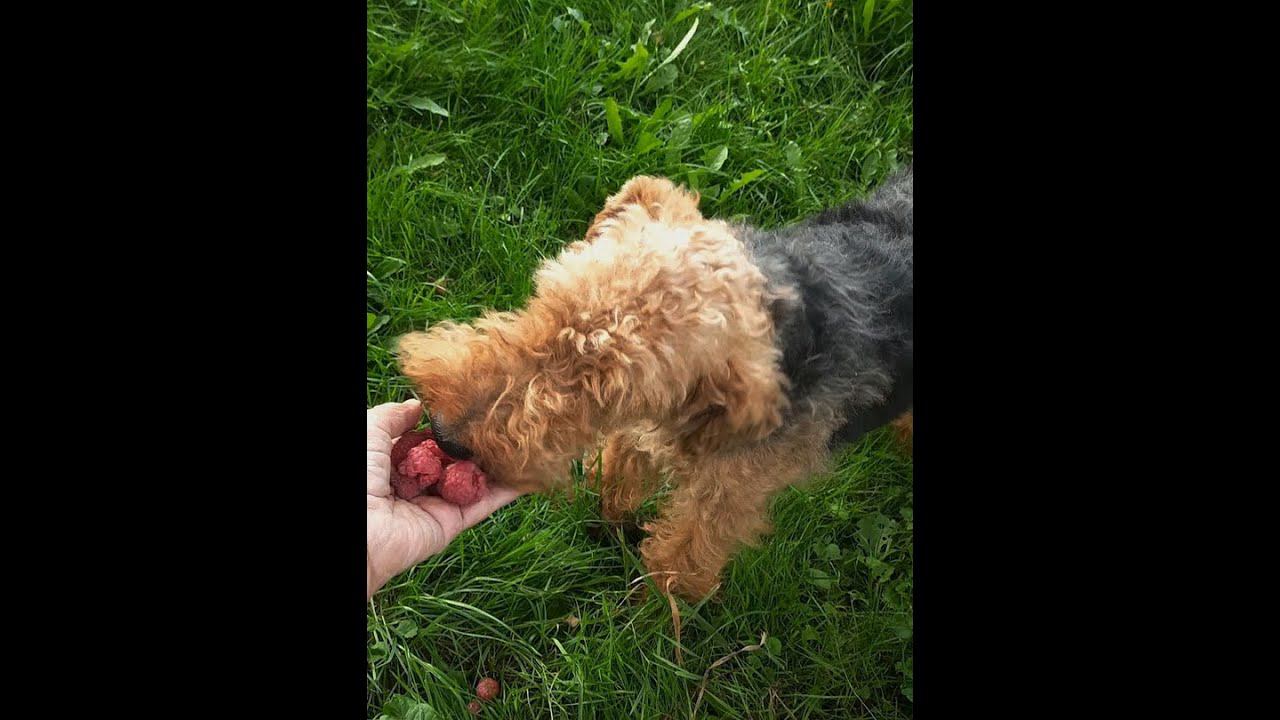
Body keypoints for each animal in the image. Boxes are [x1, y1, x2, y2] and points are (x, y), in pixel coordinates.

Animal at [398, 167, 912, 600]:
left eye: (607, 389)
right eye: (550, 302)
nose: (444, 434)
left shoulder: (724, 500)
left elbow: (677, 565)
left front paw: (653, 624)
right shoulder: (640, 437)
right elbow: (616, 485)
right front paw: (604, 528)